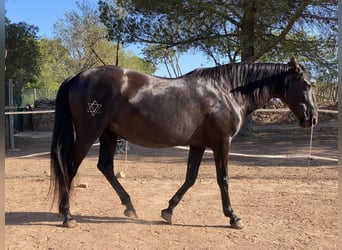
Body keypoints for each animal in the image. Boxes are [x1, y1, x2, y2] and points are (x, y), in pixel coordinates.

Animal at [50, 58, 318, 229]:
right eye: (306, 84)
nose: (312, 118)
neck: (226, 91)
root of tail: (77, 77)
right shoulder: (222, 144)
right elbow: (223, 180)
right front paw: (233, 217)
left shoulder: (198, 145)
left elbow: (190, 178)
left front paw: (168, 211)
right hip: (89, 134)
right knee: (70, 167)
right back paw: (68, 215)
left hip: (108, 135)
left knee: (105, 167)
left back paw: (129, 206)